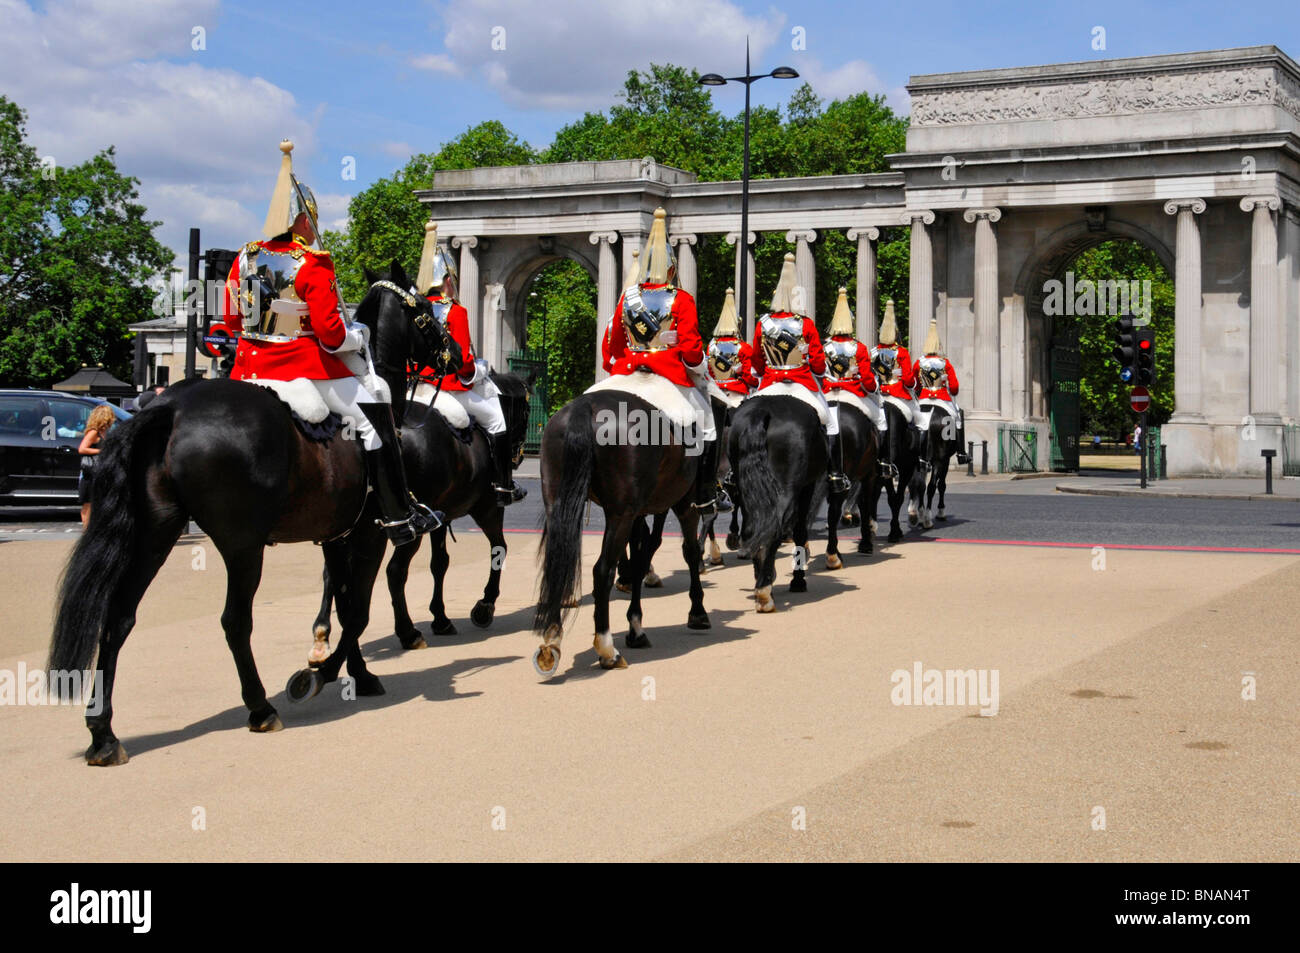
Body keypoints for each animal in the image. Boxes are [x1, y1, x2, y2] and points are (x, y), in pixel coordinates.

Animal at [48, 262, 454, 764]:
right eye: (427, 311)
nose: (458, 356)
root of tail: (170, 406)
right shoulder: (370, 535)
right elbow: (357, 610)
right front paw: (317, 676)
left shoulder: (336, 536)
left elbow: (343, 606)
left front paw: (356, 673)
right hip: (242, 545)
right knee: (234, 621)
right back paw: (260, 707)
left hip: (156, 533)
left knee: (120, 616)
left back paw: (103, 733)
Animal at [313, 366, 533, 655]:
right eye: (527, 412)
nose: (519, 455)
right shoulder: (487, 510)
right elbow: (500, 549)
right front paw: (485, 605)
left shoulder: (441, 515)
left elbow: (440, 563)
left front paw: (440, 617)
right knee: (394, 572)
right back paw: (407, 632)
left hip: (346, 524)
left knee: (332, 573)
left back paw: (324, 631)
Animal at [530, 382, 712, 670]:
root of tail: (584, 406)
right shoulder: (685, 504)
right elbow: (689, 553)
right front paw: (697, 613)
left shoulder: (638, 514)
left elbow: (640, 559)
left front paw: (635, 627)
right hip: (621, 515)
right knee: (602, 571)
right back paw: (606, 649)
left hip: (558, 504)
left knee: (556, 565)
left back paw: (552, 639)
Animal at [728, 392, 826, 608]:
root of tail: (762, 410)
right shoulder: (807, 487)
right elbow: (799, 531)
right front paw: (798, 580)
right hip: (789, 490)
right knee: (776, 526)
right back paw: (765, 590)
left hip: (747, 490)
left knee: (753, 528)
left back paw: (762, 584)